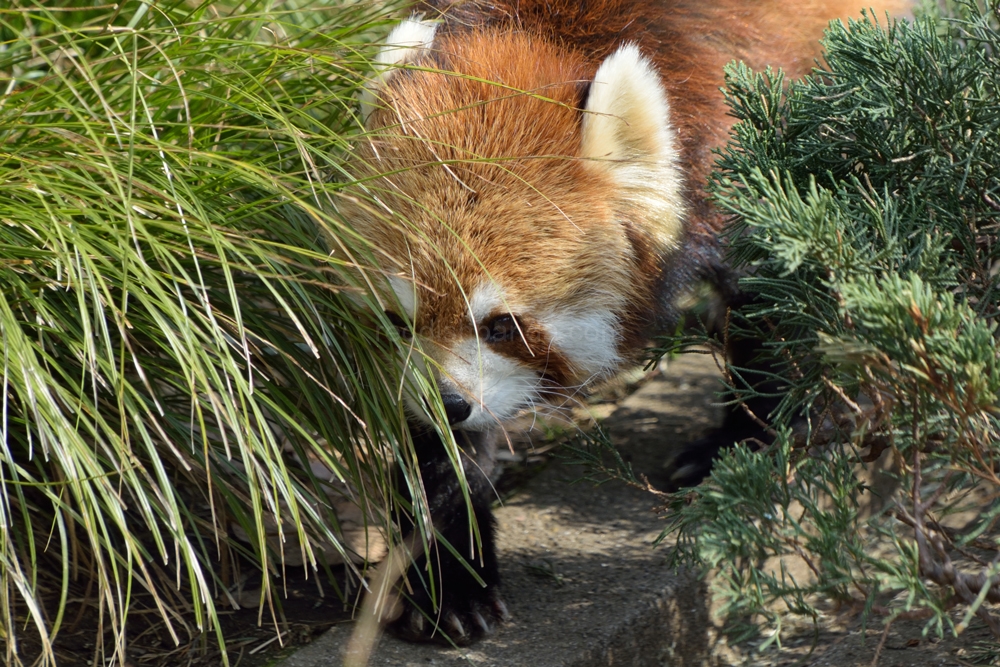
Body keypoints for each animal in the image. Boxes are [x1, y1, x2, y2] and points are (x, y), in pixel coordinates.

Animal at [342, 0, 916, 648]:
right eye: (397, 322)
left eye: (501, 326)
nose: (447, 400)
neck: (538, 35)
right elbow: (435, 456)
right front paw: (449, 584)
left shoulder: (738, 151)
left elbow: (767, 297)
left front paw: (743, 444)